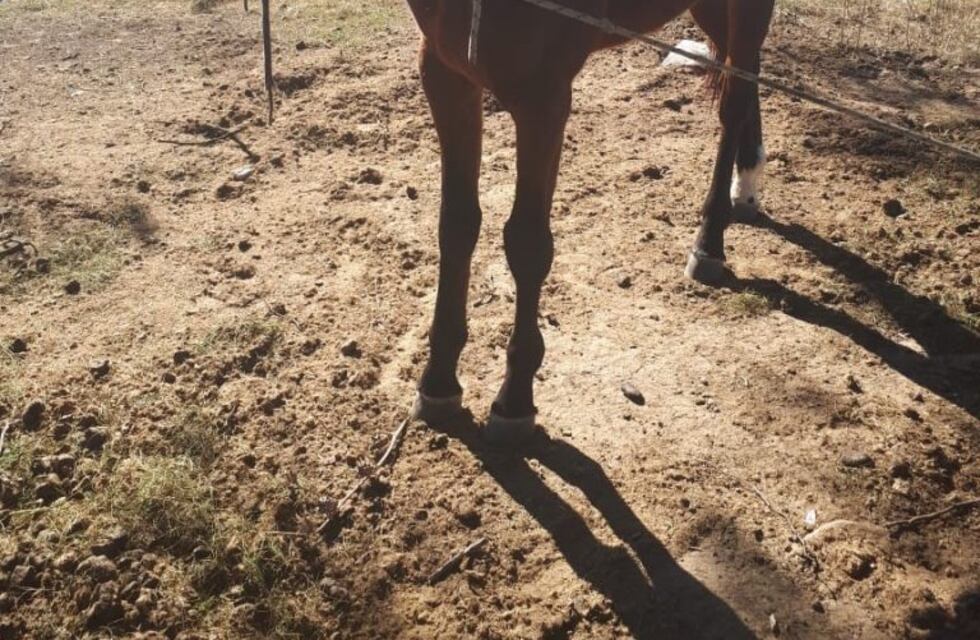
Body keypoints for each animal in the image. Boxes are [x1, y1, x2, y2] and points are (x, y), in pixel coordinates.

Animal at [405, 0, 776, 440]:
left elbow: (527, 243)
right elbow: (457, 224)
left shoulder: (544, 99)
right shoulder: (446, 72)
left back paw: (709, 241)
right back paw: (745, 187)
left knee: (734, 98)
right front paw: (438, 382)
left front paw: (515, 402)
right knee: (744, 71)